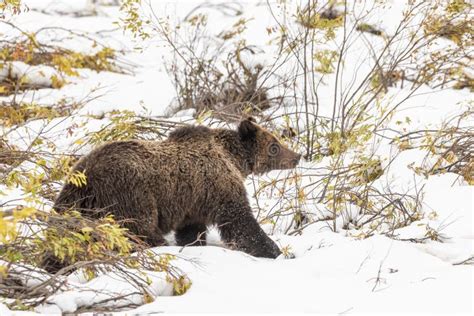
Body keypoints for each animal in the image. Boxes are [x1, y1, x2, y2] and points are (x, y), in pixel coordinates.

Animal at [53, 118, 300, 260]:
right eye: (275, 146)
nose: (297, 156)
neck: (233, 159)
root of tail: (86, 176)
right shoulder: (219, 186)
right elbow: (240, 223)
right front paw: (275, 251)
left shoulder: (193, 202)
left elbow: (191, 231)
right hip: (130, 195)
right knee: (141, 230)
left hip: (73, 201)